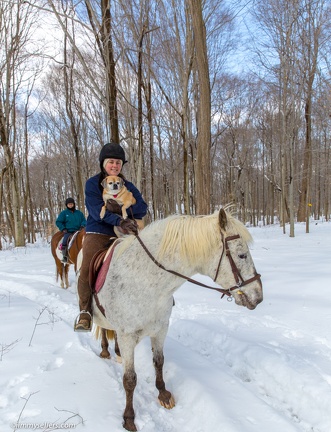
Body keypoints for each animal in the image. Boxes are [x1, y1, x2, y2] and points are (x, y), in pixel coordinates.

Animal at [89, 208, 264, 430]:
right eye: (242, 254)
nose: (258, 296)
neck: (146, 282)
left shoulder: (161, 329)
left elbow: (159, 362)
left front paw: (163, 395)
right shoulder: (128, 336)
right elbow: (130, 379)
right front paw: (128, 418)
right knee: (103, 328)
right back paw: (105, 351)